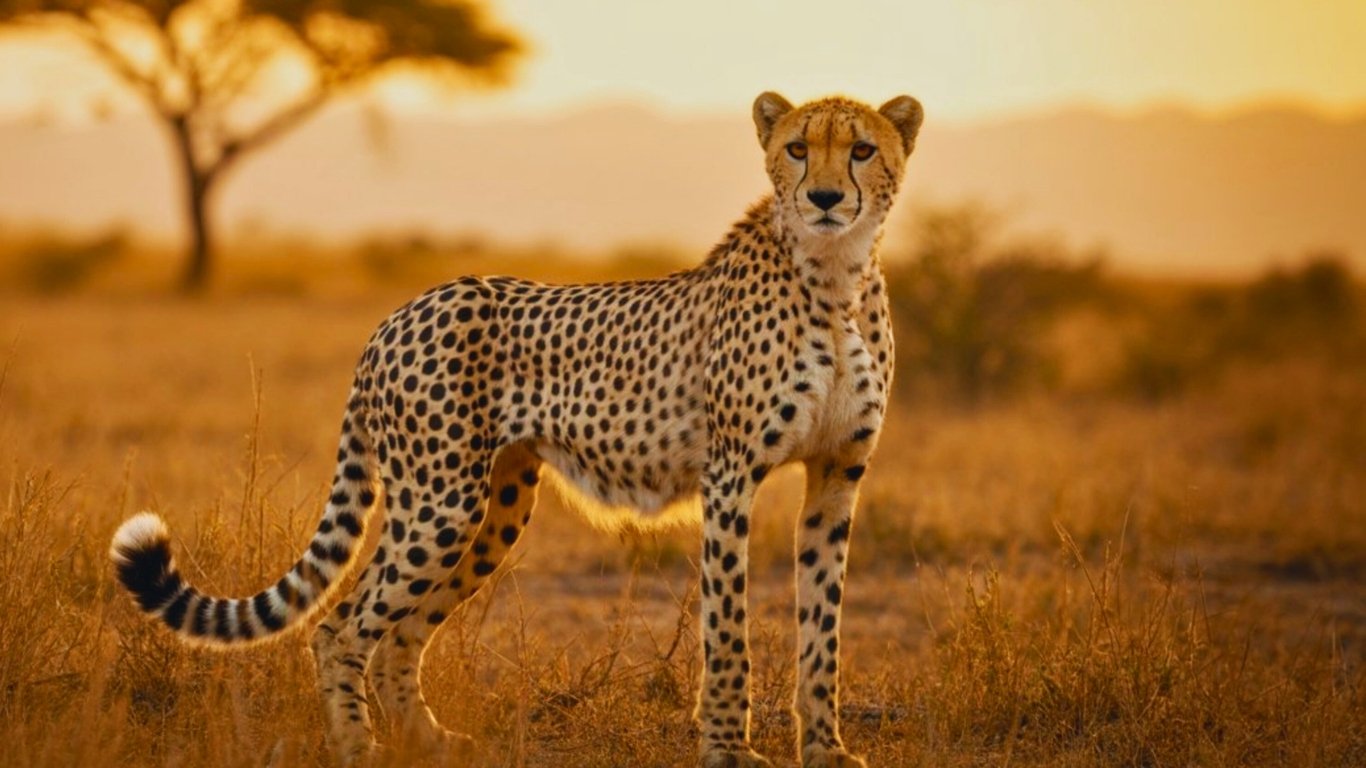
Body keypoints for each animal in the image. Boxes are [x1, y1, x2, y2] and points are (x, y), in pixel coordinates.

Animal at [110, 90, 923, 767]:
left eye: (861, 149)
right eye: (797, 148)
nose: (824, 198)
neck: (837, 277)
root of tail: (401, 312)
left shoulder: (837, 478)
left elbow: (823, 627)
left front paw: (826, 749)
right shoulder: (730, 481)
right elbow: (727, 630)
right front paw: (728, 750)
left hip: (495, 504)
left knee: (399, 633)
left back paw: (432, 744)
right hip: (439, 502)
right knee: (342, 628)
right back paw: (358, 751)